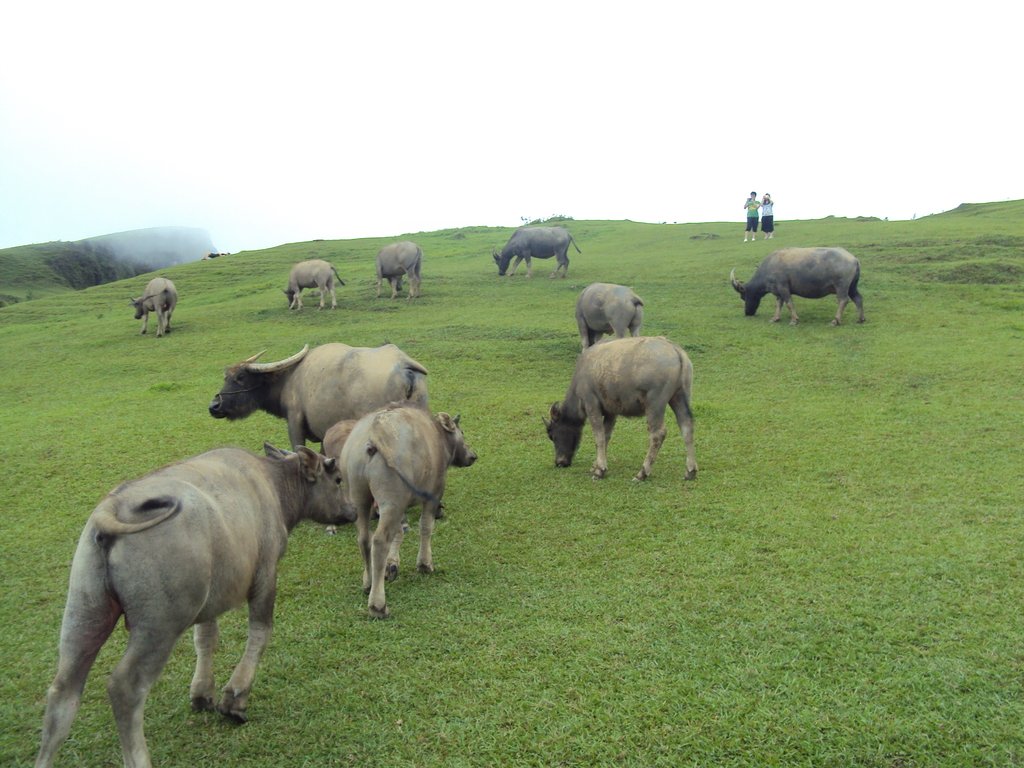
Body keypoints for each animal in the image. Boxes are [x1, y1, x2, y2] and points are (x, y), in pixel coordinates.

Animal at [34, 444, 354, 768]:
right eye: (338, 479)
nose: (352, 511)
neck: (272, 483)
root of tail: (115, 507)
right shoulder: (265, 575)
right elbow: (261, 633)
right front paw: (235, 698)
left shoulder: (207, 602)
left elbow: (205, 638)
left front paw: (201, 692)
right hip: (158, 627)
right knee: (125, 688)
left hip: (84, 614)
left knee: (63, 693)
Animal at [207, 344, 428, 450]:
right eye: (226, 376)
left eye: (240, 377)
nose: (214, 405)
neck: (290, 379)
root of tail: (403, 366)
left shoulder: (294, 421)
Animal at [339, 403, 475, 618]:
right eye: (462, 432)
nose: (472, 455)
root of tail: (373, 432)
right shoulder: (434, 494)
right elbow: (426, 526)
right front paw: (425, 564)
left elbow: (400, 532)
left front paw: (392, 564)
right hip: (391, 500)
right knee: (379, 541)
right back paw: (378, 605)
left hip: (359, 498)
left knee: (364, 539)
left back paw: (368, 583)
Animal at [544, 335, 696, 481]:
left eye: (552, 435)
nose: (559, 462)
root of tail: (675, 350)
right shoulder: (611, 412)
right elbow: (606, 436)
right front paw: (596, 465)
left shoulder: (591, 404)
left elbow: (599, 437)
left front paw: (599, 471)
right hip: (680, 397)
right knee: (687, 427)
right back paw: (690, 471)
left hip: (655, 404)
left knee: (658, 434)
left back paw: (642, 473)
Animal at [729, 247, 864, 325]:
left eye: (743, 296)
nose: (747, 313)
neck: (769, 267)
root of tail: (854, 259)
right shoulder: (778, 292)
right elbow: (779, 304)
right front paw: (775, 318)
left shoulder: (783, 288)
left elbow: (789, 303)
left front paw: (794, 320)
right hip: (852, 287)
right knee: (858, 298)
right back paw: (860, 319)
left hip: (841, 286)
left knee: (843, 300)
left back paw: (836, 320)